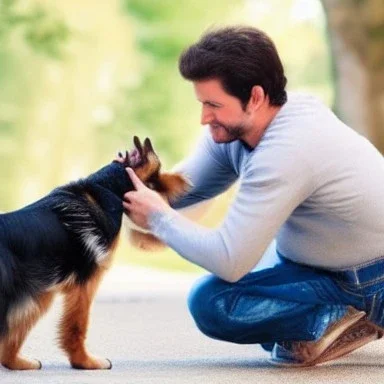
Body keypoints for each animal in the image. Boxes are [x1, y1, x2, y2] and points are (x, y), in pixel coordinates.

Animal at [0, 136, 190, 370]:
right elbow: (76, 327)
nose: (186, 183)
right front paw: (85, 362)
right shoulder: (85, 283)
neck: (108, 186)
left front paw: (16, 362)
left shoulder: (41, 293)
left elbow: (17, 332)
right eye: (157, 176)